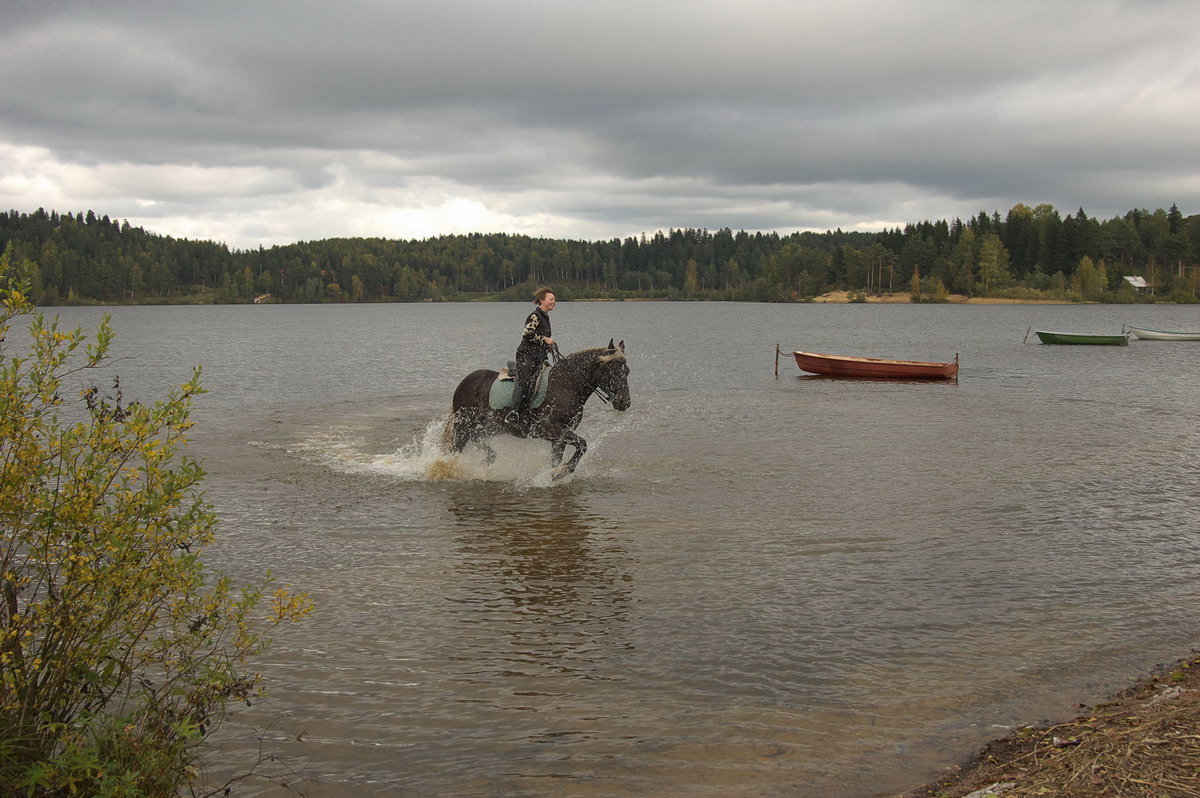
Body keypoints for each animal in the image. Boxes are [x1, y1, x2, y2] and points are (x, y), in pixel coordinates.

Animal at [441, 338, 628, 480]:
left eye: (627, 371)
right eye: (614, 372)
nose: (625, 402)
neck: (567, 385)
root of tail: (464, 382)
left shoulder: (558, 438)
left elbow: (558, 458)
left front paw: (554, 473)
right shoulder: (550, 429)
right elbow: (583, 444)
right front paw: (561, 472)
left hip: (494, 427)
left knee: (477, 436)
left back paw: (489, 459)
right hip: (464, 424)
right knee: (456, 448)